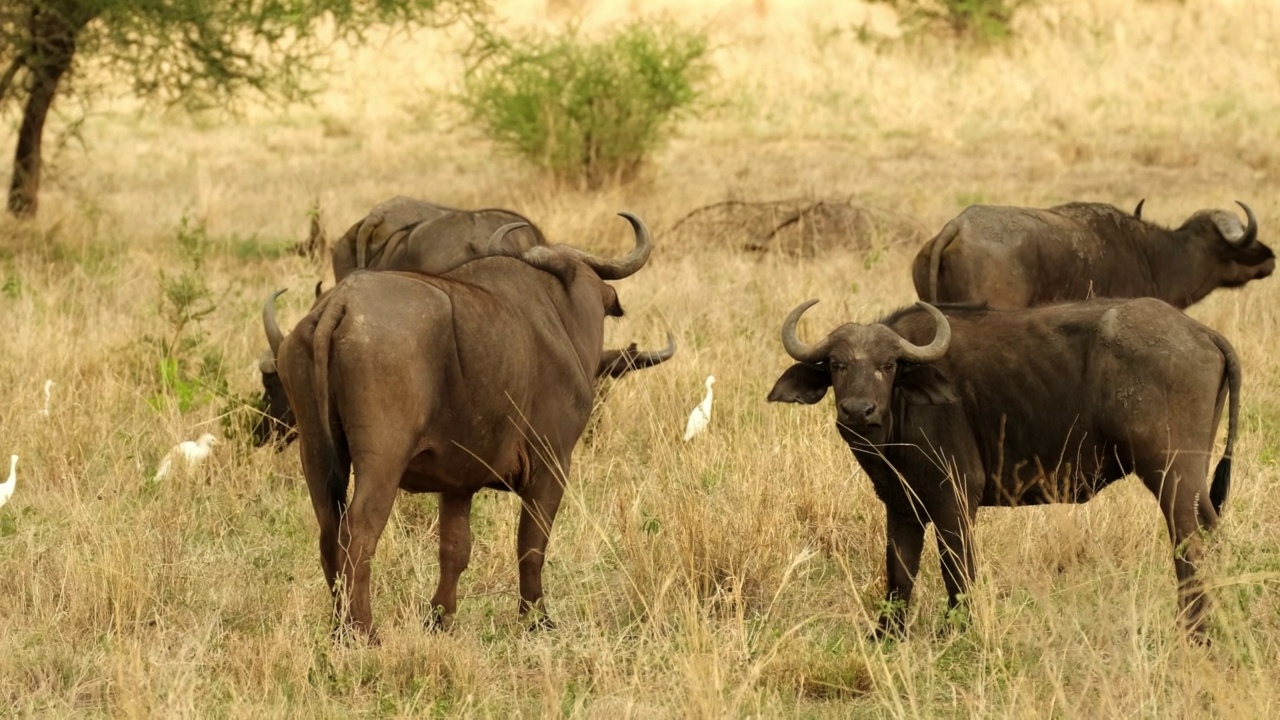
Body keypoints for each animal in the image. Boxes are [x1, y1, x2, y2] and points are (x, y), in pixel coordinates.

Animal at [281, 211, 655, 632]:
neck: (556, 314)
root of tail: (342, 303)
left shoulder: (458, 484)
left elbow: (455, 549)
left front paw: (440, 617)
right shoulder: (552, 465)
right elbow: (531, 543)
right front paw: (536, 618)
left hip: (315, 453)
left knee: (329, 533)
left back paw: (338, 628)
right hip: (382, 460)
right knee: (358, 531)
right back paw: (363, 631)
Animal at [768, 297, 1239, 638]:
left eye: (888, 366)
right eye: (837, 365)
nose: (857, 410)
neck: (899, 418)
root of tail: (1201, 332)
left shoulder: (955, 499)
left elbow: (957, 568)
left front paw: (958, 632)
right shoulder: (901, 507)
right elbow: (899, 573)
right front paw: (886, 637)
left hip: (1170, 473)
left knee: (1188, 542)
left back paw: (1195, 629)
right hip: (1194, 479)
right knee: (1210, 532)